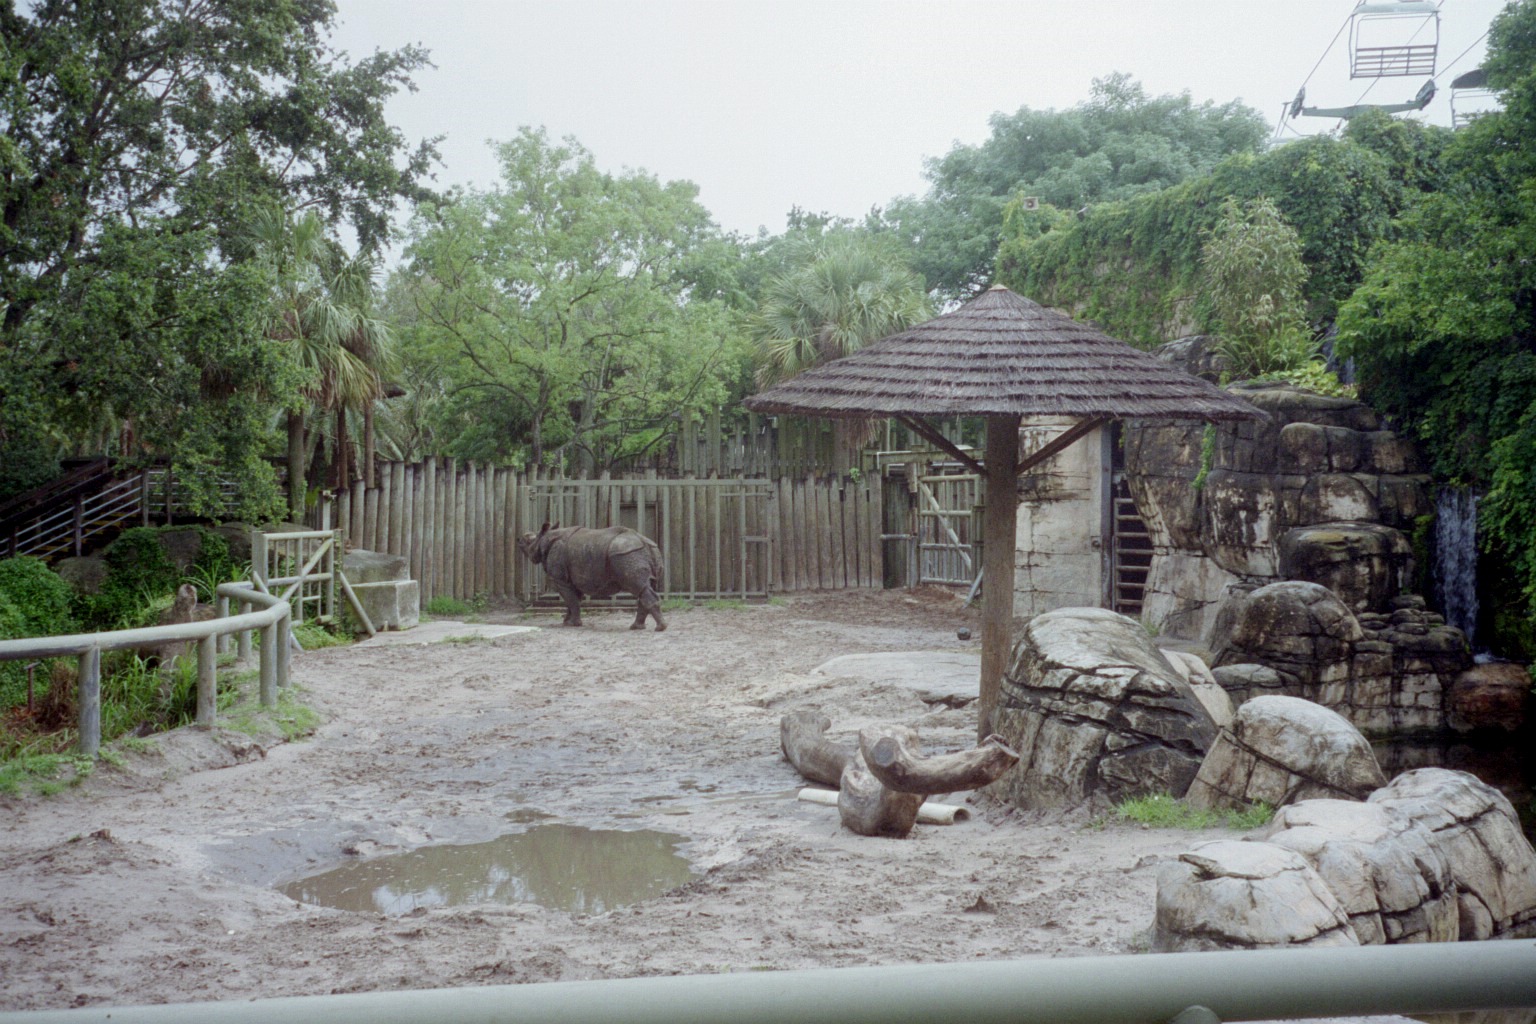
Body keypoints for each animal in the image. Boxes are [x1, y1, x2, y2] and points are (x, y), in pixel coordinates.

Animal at [517, 523, 667, 632]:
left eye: (528, 540)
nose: (519, 539)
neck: (545, 538)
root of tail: (645, 543)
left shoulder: (561, 580)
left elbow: (571, 600)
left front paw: (573, 624)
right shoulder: (574, 579)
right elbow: (573, 601)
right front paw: (566, 622)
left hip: (627, 553)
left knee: (638, 587)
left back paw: (659, 628)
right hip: (645, 552)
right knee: (645, 588)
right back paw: (637, 627)